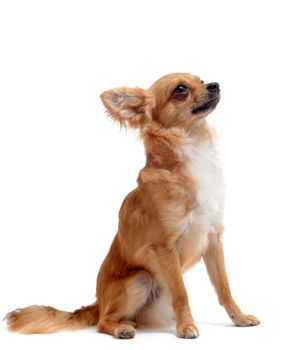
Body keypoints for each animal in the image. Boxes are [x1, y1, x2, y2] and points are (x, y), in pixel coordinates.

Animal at [5, 73, 260, 340]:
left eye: (200, 80)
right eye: (180, 90)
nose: (214, 85)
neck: (191, 146)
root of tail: (97, 303)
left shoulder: (212, 238)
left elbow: (224, 287)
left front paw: (240, 318)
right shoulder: (164, 247)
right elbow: (182, 293)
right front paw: (186, 327)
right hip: (140, 279)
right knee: (103, 322)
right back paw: (121, 329)